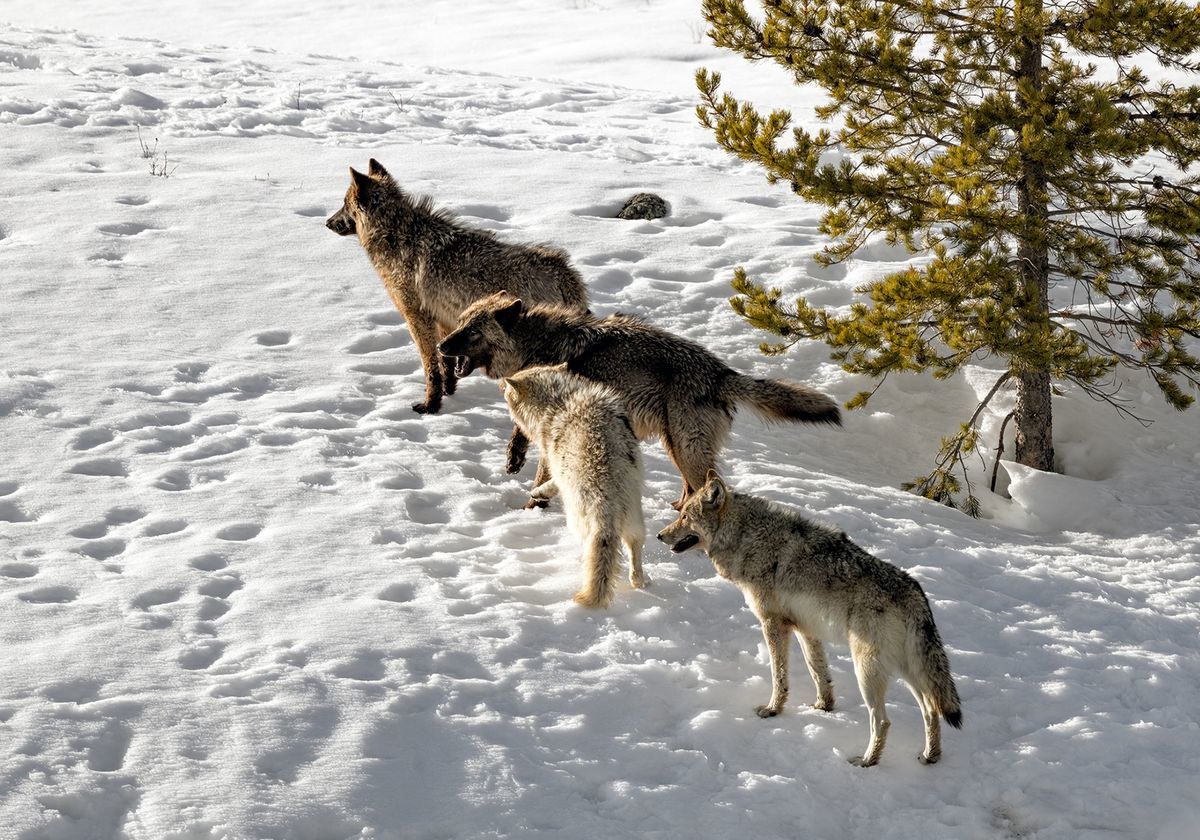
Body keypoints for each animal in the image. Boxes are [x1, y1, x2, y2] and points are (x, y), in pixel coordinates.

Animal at [326, 159, 588, 415]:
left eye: (344, 204)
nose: (327, 222)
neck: (395, 236)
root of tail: (565, 274)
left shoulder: (417, 319)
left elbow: (431, 368)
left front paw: (430, 406)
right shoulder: (445, 320)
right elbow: (447, 363)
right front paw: (448, 393)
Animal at [436, 291, 840, 508]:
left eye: (471, 332)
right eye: (460, 323)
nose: (440, 347)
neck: (537, 347)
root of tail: (721, 372)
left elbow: (540, 478)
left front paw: (531, 509)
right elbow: (520, 436)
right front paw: (513, 457)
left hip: (686, 448)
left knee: (705, 487)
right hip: (675, 446)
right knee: (691, 489)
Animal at [499, 364, 643, 607]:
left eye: (509, 391)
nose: (501, 384)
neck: (559, 400)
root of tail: (606, 499)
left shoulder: (555, 464)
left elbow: (550, 484)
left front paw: (537, 492)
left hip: (579, 521)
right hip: (635, 519)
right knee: (634, 550)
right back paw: (640, 581)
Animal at [657, 472, 964, 768]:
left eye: (684, 517)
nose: (660, 535)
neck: (747, 537)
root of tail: (916, 593)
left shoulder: (773, 624)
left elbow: (779, 676)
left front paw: (773, 710)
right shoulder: (806, 629)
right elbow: (819, 673)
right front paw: (823, 707)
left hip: (867, 671)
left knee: (883, 721)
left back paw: (867, 761)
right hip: (907, 672)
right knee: (931, 710)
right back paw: (929, 756)